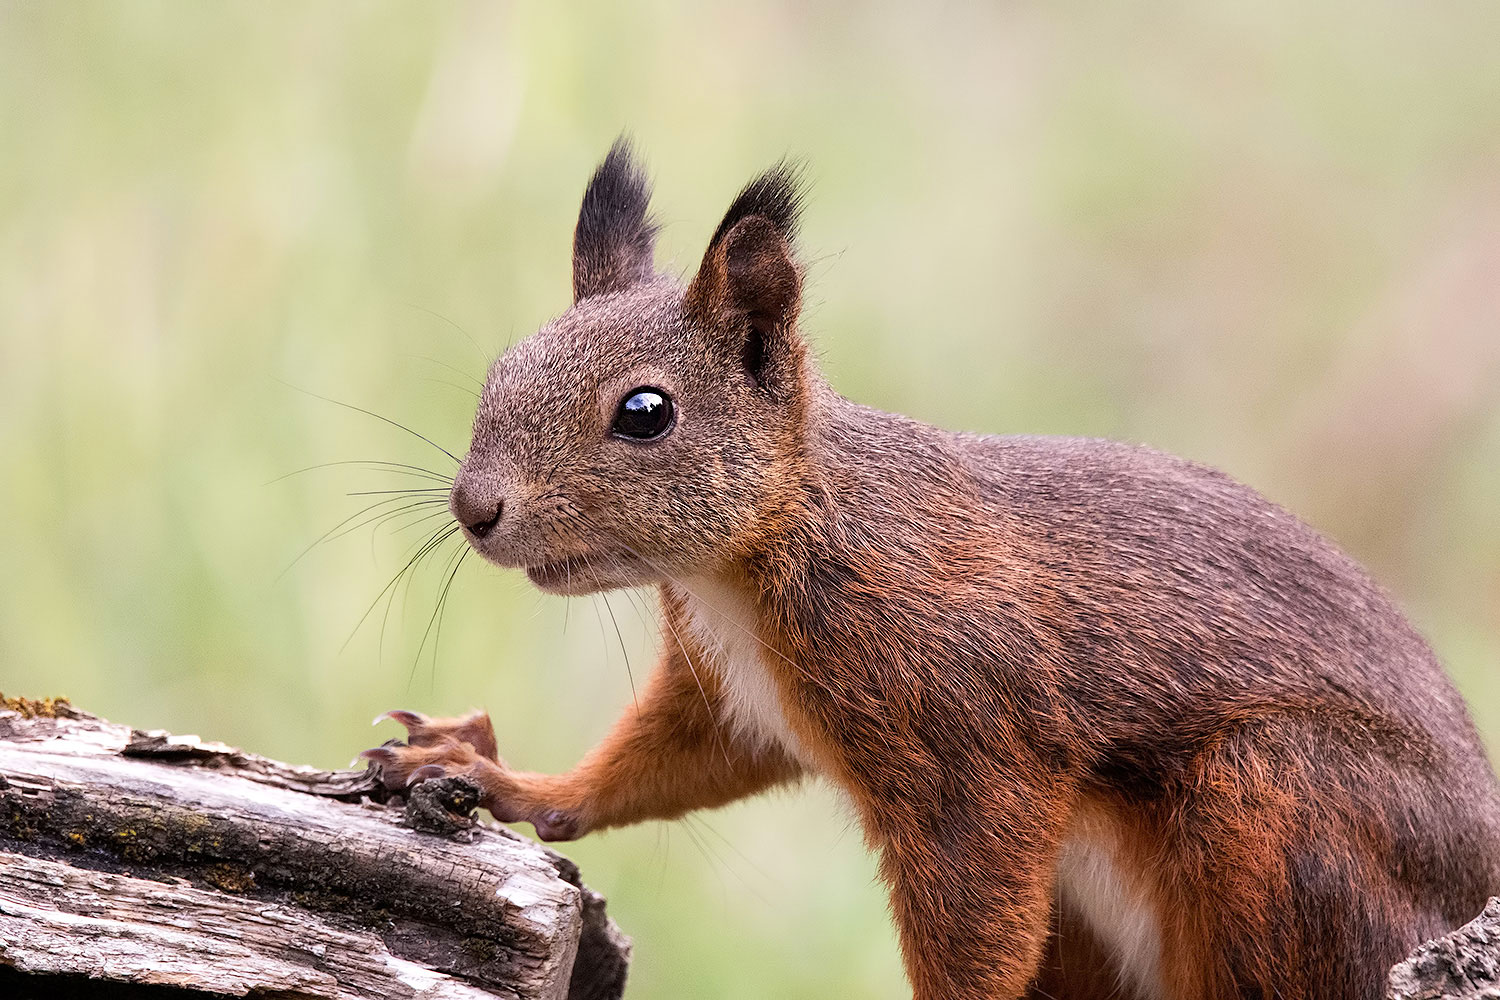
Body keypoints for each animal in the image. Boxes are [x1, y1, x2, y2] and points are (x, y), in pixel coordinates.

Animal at [360, 140, 1500, 1000]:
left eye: (645, 412)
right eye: (504, 366)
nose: (474, 510)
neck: (749, 568)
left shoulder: (974, 732)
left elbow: (977, 911)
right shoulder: (735, 698)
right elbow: (654, 769)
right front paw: (494, 774)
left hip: (1287, 804)